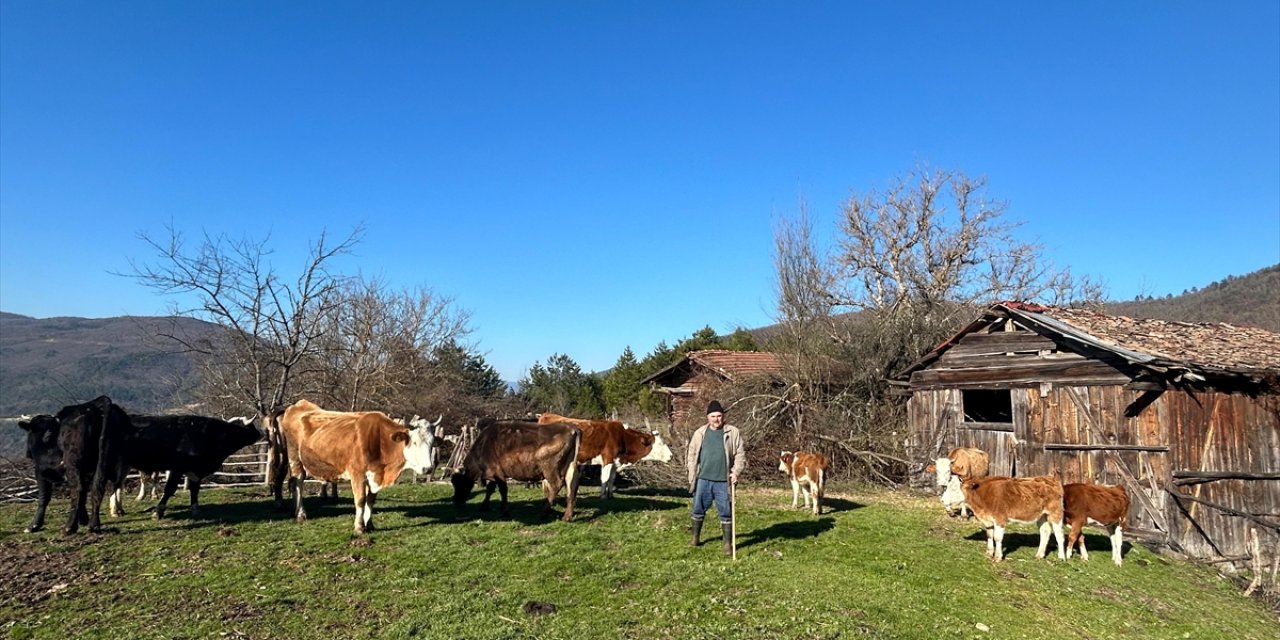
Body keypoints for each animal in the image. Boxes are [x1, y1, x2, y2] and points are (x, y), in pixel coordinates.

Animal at [20, 396, 133, 532]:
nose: (47, 436)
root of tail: (94, 405)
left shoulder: (41, 470)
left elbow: (44, 498)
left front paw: (34, 525)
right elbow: (84, 495)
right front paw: (83, 519)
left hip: (73, 463)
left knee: (77, 490)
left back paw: (69, 527)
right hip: (109, 463)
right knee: (98, 488)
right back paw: (94, 525)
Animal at [113, 414, 263, 519]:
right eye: (251, 427)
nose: (261, 433)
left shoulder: (196, 471)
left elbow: (195, 489)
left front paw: (196, 509)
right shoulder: (177, 468)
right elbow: (169, 489)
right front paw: (158, 511)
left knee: (118, 484)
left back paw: (118, 509)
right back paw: (116, 510)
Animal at [277, 399, 437, 535]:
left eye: (432, 443)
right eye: (414, 442)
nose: (427, 468)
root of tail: (298, 405)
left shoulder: (374, 475)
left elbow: (370, 500)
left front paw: (369, 524)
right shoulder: (357, 474)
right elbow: (360, 500)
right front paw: (359, 527)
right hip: (295, 458)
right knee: (298, 482)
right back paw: (301, 514)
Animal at [450, 419, 581, 519]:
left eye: (460, 483)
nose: (455, 500)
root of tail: (571, 428)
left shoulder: (497, 471)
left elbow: (502, 490)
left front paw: (504, 511)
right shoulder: (492, 473)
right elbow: (490, 489)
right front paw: (484, 506)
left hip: (549, 468)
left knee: (556, 484)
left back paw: (544, 512)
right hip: (571, 467)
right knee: (572, 487)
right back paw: (567, 516)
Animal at [532, 409, 670, 499]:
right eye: (660, 444)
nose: (671, 456)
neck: (622, 437)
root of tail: (546, 415)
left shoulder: (614, 462)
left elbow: (612, 479)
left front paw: (610, 495)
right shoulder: (607, 459)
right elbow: (605, 478)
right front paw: (603, 496)